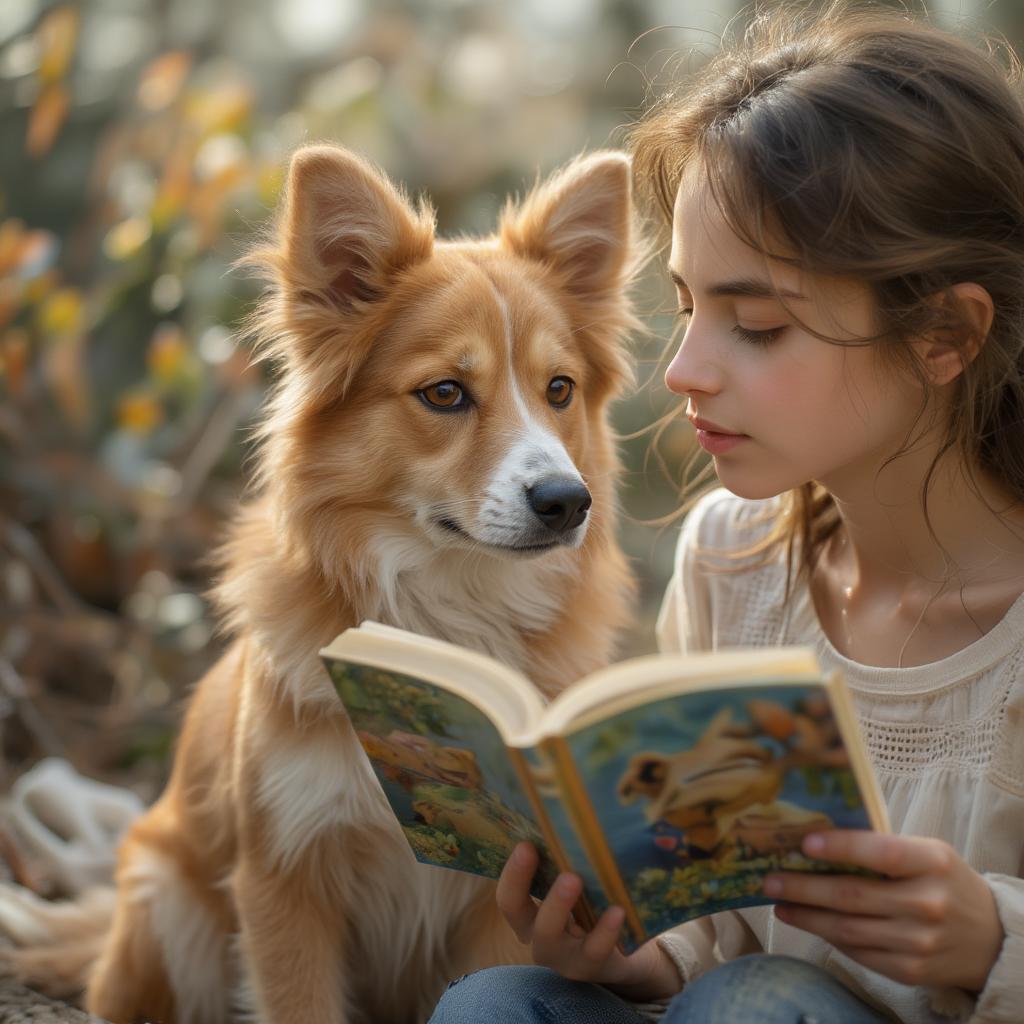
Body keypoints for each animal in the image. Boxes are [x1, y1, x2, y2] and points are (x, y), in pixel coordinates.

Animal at [2, 146, 638, 1024]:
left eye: (560, 390)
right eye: (445, 393)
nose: (567, 501)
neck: (442, 618)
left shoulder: (507, 897)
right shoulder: (284, 878)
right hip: (172, 905)